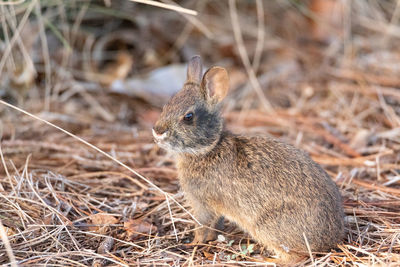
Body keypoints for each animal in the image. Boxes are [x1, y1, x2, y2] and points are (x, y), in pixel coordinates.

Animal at [152, 56, 346, 266]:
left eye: (188, 117)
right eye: (167, 105)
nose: (157, 131)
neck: (208, 149)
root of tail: (332, 239)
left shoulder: (204, 204)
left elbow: (202, 226)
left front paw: (193, 243)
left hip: (267, 226)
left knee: (297, 256)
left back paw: (265, 259)